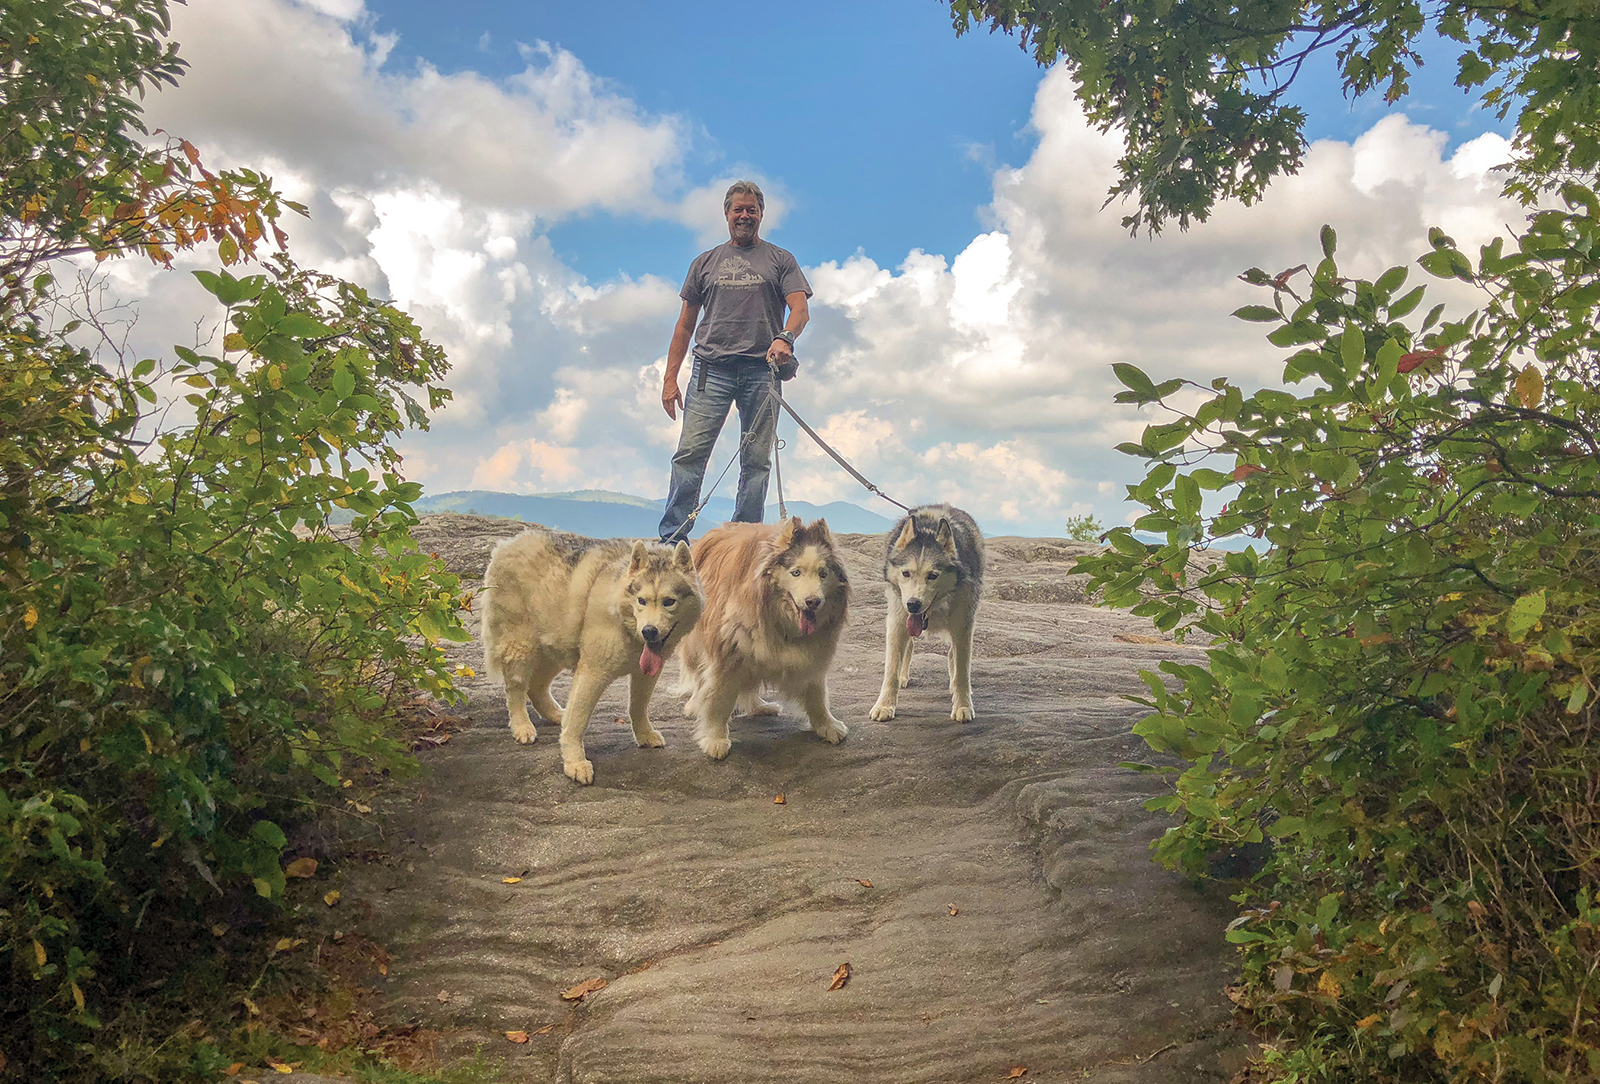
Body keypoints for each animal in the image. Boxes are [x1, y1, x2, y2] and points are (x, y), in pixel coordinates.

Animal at [476, 530, 697, 786]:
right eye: (641, 601)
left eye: (669, 601)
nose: (649, 631)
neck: (624, 621)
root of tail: (508, 543)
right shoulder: (593, 671)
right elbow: (578, 720)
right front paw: (575, 762)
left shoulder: (646, 673)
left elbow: (638, 705)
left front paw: (644, 734)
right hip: (521, 646)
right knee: (516, 690)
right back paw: (522, 726)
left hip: (556, 644)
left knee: (537, 686)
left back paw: (555, 714)